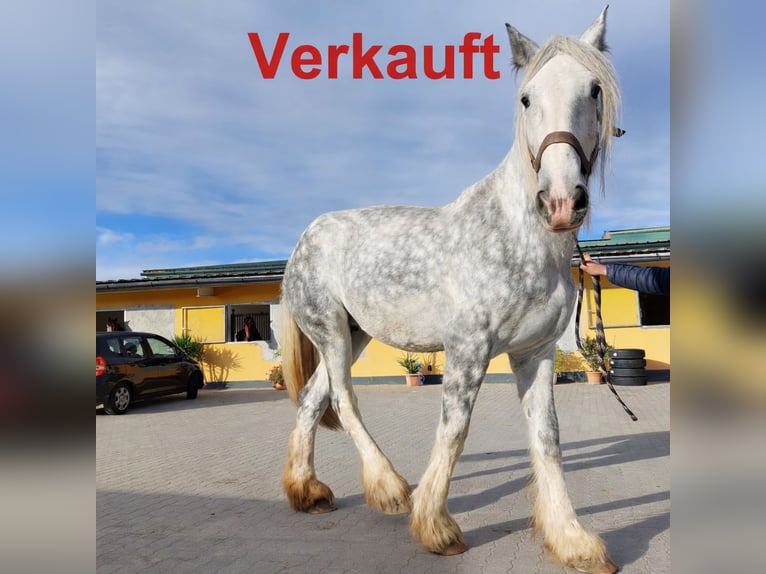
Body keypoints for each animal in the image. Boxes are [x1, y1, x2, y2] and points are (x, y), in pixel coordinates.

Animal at [279, 8, 622, 573]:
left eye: (593, 90)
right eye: (526, 98)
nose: (560, 201)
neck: (517, 236)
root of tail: (305, 238)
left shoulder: (536, 354)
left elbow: (547, 440)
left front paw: (572, 540)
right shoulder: (467, 350)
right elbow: (455, 431)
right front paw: (435, 527)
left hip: (353, 336)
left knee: (311, 400)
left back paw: (308, 492)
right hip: (329, 333)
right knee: (345, 402)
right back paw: (390, 489)